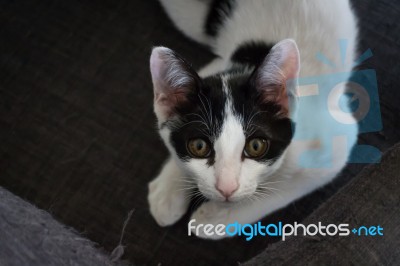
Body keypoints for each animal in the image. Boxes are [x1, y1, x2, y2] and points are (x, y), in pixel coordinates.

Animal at [148, 0, 360, 239]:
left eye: (256, 146)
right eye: (199, 146)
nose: (226, 189)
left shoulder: (333, 142)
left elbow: (281, 191)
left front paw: (216, 218)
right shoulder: (215, 68)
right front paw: (168, 192)